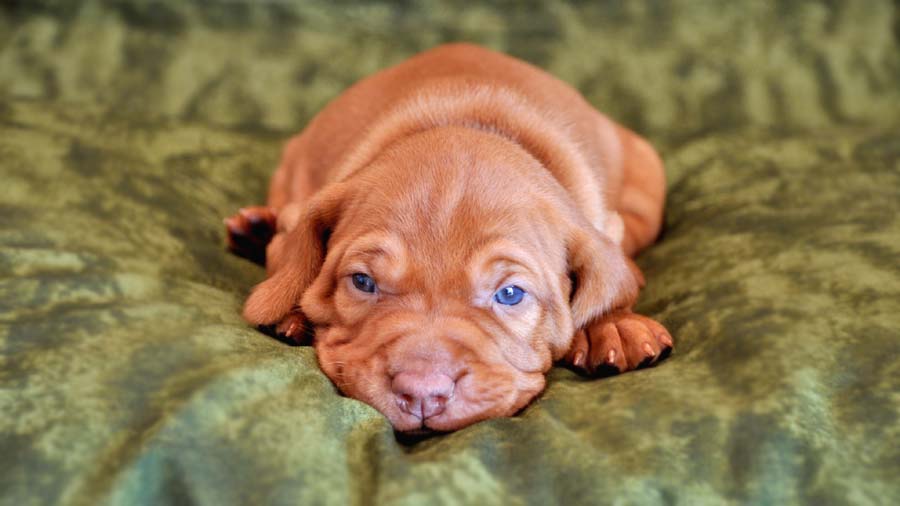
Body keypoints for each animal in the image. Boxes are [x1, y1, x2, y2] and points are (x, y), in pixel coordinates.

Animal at [229, 43, 672, 432]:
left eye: (510, 294)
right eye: (362, 282)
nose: (422, 394)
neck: (465, 123)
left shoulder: (602, 223)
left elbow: (610, 276)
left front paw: (610, 324)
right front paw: (291, 305)